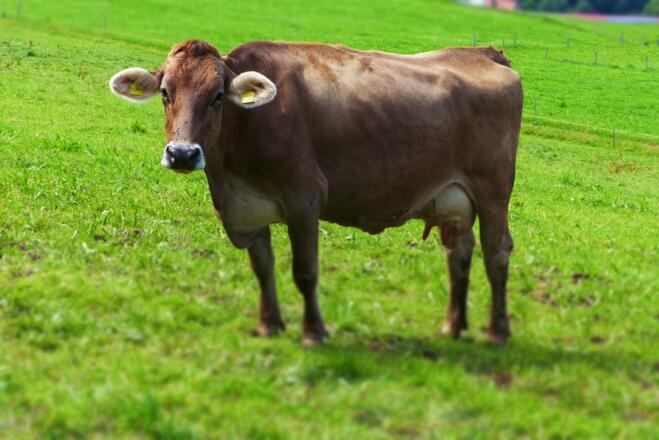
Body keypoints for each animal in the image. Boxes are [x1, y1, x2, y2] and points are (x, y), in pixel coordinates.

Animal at [109, 39, 522, 346]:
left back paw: (498, 332)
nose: (182, 154)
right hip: (452, 200)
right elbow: (262, 267)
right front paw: (269, 325)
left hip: (493, 191)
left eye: (217, 96)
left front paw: (313, 332)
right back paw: (453, 326)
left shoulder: (304, 198)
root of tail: (480, 53)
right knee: (460, 253)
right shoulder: (248, 207)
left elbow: (305, 271)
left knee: (497, 252)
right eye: (165, 92)